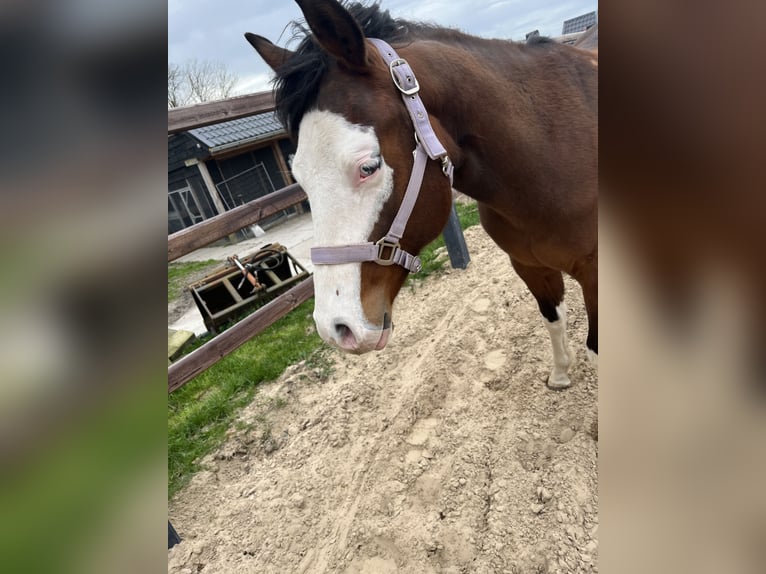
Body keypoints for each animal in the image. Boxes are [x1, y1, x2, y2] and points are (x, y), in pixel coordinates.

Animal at [246, 0, 597, 388]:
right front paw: (561, 374)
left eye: (368, 166)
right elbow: (553, 318)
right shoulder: (528, 266)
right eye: (300, 176)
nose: (336, 328)